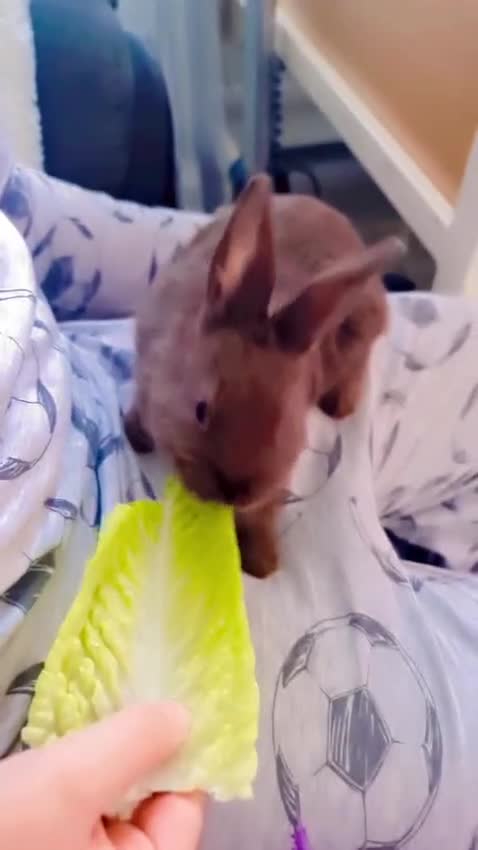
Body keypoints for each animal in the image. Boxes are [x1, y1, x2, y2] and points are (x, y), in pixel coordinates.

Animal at [125, 174, 404, 578]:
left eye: (288, 428)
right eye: (201, 410)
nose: (234, 491)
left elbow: (262, 515)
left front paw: (262, 564)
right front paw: (136, 438)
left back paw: (341, 406)